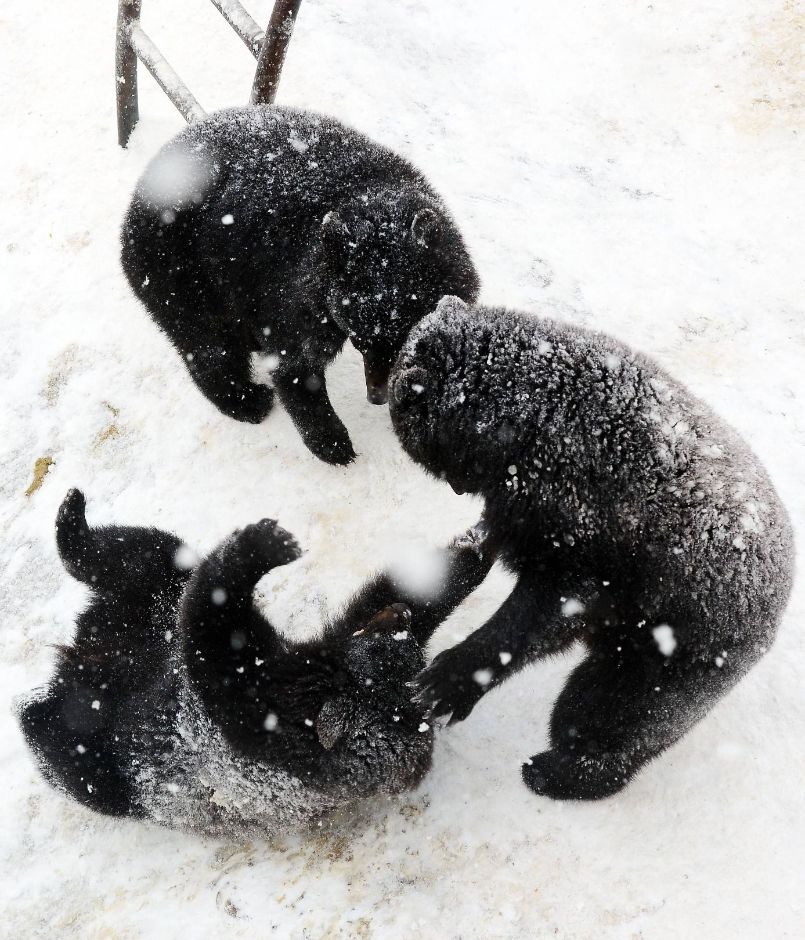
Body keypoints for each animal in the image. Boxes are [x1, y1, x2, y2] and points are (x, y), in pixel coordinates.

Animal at [121, 104, 478, 464]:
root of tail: (143, 189)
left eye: (402, 339)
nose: (376, 397)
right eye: (360, 342)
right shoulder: (297, 286)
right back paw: (246, 400)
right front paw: (333, 442)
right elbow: (296, 363)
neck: (374, 202)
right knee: (207, 343)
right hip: (181, 271)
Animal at [392, 300, 796, 800]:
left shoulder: (592, 536)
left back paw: (560, 771)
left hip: (674, 657)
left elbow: (542, 615)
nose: (456, 484)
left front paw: (450, 679)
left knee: (611, 718)